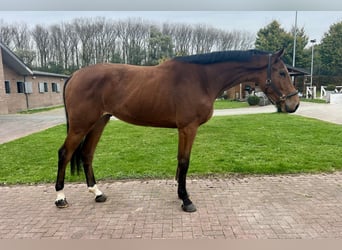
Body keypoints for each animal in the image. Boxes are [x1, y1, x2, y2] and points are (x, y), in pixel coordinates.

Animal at [54, 48, 298, 211]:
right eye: (282, 73)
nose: (294, 104)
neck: (202, 79)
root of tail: (74, 75)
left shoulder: (184, 129)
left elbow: (181, 161)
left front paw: (181, 195)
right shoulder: (188, 128)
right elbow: (184, 161)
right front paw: (186, 200)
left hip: (99, 122)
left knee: (87, 154)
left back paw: (97, 193)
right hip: (80, 125)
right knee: (65, 153)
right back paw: (60, 197)